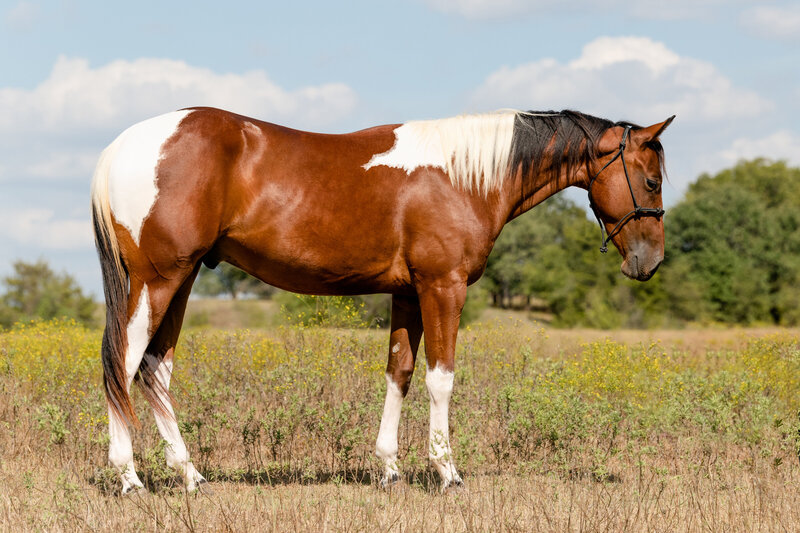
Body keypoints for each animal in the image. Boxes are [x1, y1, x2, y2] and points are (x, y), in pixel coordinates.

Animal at [90, 106, 672, 492]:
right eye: (651, 181)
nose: (650, 261)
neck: (462, 173)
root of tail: (122, 146)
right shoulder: (442, 286)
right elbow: (441, 378)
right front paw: (447, 471)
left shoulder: (407, 293)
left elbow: (401, 372)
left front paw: (389, 468)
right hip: (159, 279)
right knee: (124, 362)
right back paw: (129, 477)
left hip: (182, 279)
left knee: (155, 369)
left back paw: (189, 474)